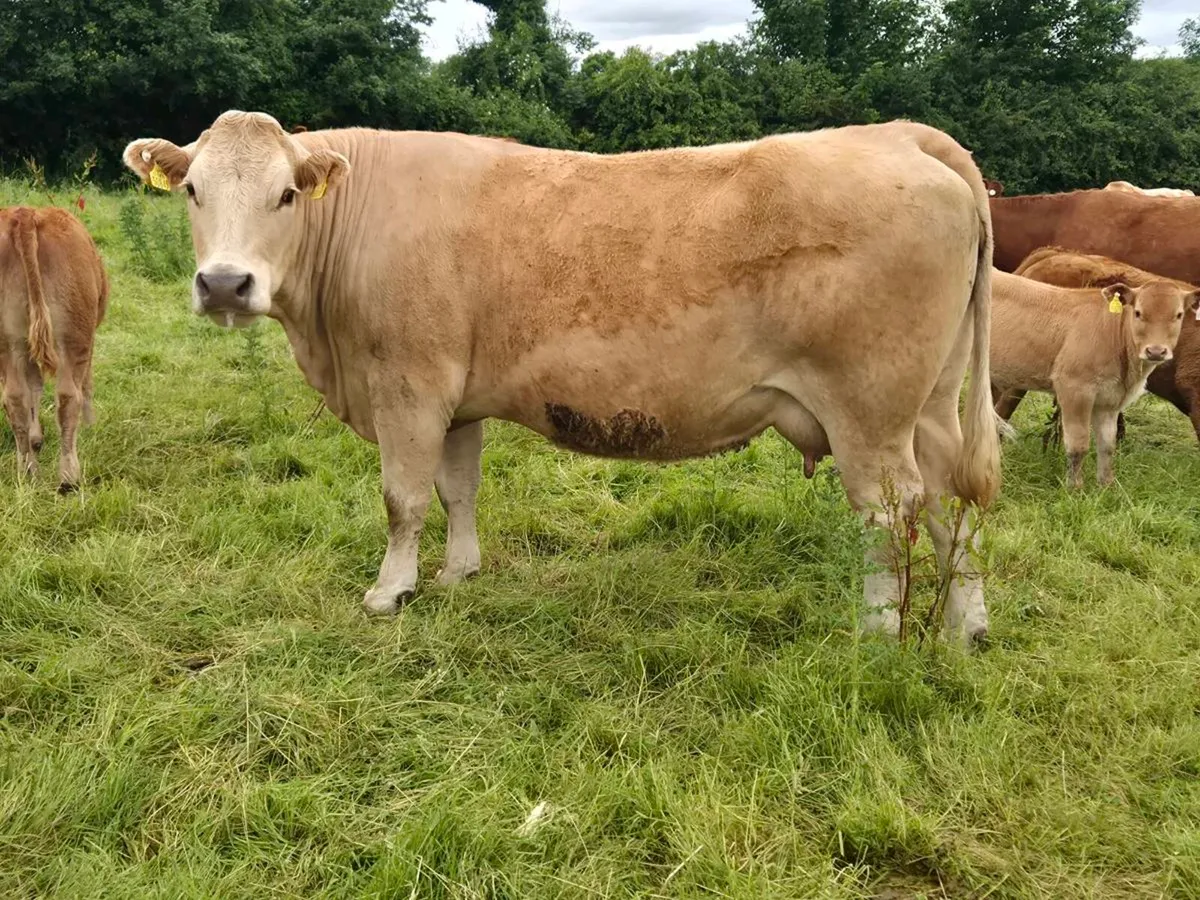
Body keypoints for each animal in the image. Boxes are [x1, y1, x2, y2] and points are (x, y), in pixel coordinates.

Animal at [0, 206, 108, 491]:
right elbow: (87, 384)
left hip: (8, 341)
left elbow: (34, 387)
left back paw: (27, 471)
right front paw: (91, 423)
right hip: (74, 337)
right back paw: (69, 477)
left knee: (14, 397)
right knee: (69, 396)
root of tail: (25, 214)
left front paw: (36, 439)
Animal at [123, 110, 1001, 645]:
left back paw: (880, 633)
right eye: (193, 190)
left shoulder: (408, 384)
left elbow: (403, 499)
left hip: (871, 413)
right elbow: (456, 490)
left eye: (284, 195)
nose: (225, 284)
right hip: (930, 406)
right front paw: (459, 573)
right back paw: (966, 627)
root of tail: (900, 134)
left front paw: (390, 592)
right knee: (953, 503)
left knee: (892, 513)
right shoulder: (457, 399)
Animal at [990, 270, 1197, 487]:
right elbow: (1078, 445)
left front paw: (1106, 486)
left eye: (1178, 315)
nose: (1156, 351)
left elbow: (1107, 446)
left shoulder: (1109, 400)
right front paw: (1074, 488)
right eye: (1138, 312)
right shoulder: (1074, 388)